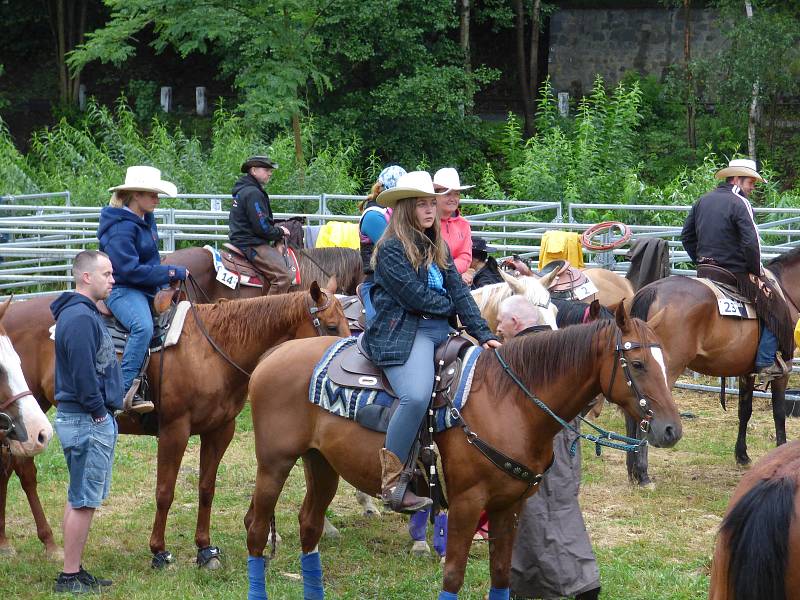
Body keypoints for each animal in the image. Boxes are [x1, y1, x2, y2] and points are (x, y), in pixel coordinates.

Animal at [0, 284, 350, 564]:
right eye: (331, 325)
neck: (212, 350)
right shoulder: (174, 431)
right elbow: (165, 492)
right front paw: (159, 551)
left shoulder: (220, 430)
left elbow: (207, 489)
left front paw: (205, 550)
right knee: (17, 470)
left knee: (17, 469)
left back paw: (27, 542)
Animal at [242, 308, 680, 596]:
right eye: (637, 363)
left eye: (665, 361)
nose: (671, 429)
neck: (509, 403)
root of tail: (274, 355)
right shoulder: (468, 504)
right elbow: (452, 575)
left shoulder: (510, 505)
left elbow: (501, 574)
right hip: (274, 464)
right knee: (257, 529)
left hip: (321, 464)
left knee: (309, 526)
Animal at [624, 250, 800, 488]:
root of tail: (652, 291)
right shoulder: (783, 371)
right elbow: (779, 413)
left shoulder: (746, 372)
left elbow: (745, 411)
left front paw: (742, 456)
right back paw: (643, 474)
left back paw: (632, 471)